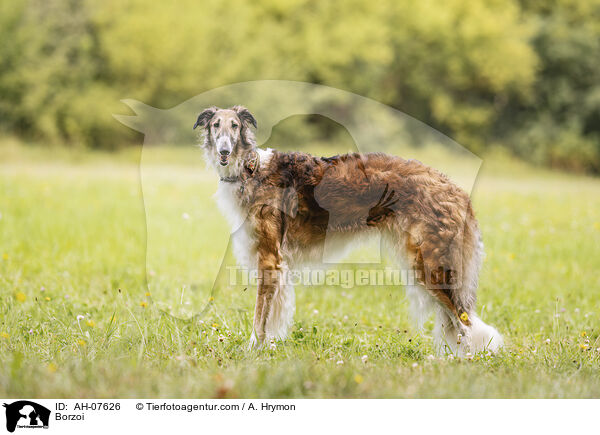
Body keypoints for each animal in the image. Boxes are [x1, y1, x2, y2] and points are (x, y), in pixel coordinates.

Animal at [196, 106, 502, 358]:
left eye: (235, 125)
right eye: (215, 125)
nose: (224, 152)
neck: (251, 170)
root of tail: (457, 190)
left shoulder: (270, 259)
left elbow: (260, 318)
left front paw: (253, 351)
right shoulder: (276, 264)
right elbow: (270, 319)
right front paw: (266, 348)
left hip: (431, 266)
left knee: (464, 323)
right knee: (455, 324)